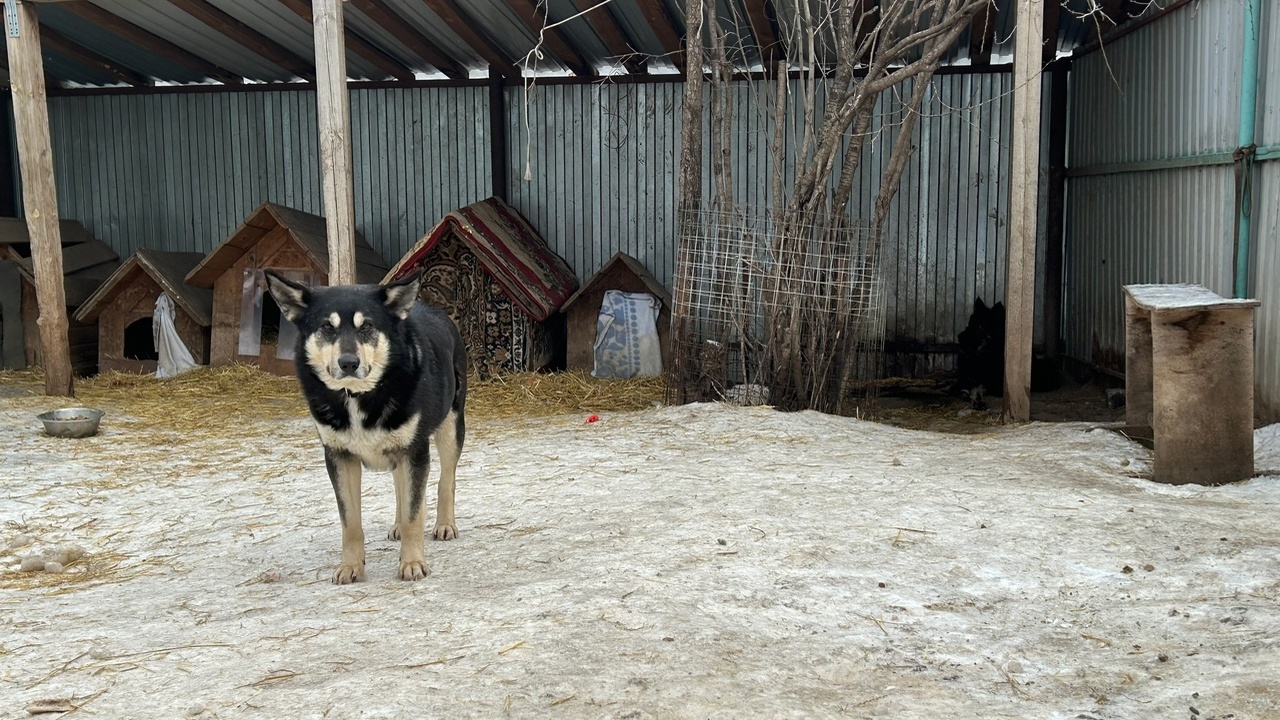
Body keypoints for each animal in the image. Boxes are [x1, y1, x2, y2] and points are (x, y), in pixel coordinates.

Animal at [266, 270, 471, 584]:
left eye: (367, 326)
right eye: (327, 327)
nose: (349, 363)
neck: (357, 395)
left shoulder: (413, 450)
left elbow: (414, 515)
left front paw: (412, 562)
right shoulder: (340, 457)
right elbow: (351, 522)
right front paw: (351, 566)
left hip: (450, 427)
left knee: (445, 481)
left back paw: (445, 524)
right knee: (402, 489)